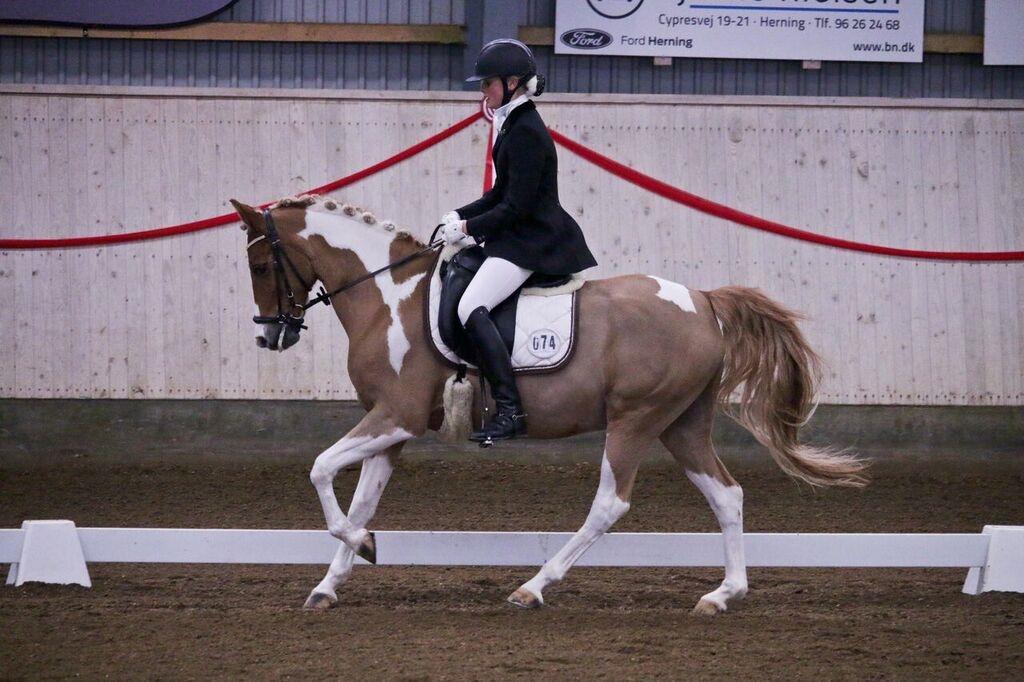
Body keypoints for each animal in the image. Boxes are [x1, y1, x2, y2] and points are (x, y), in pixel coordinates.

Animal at [230, 194, 868, 615]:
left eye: (261, 264)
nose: (271, 336)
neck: (389, 295)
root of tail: (704, 301)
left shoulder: (397, 416)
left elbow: (319, 469)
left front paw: (361, 548)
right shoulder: (393, 431)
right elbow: (360, 502)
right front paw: (331, 581)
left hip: (635, 420)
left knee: (610, 505)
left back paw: (533, 587)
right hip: (681, 423)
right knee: (726, 494)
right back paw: (722, 594)